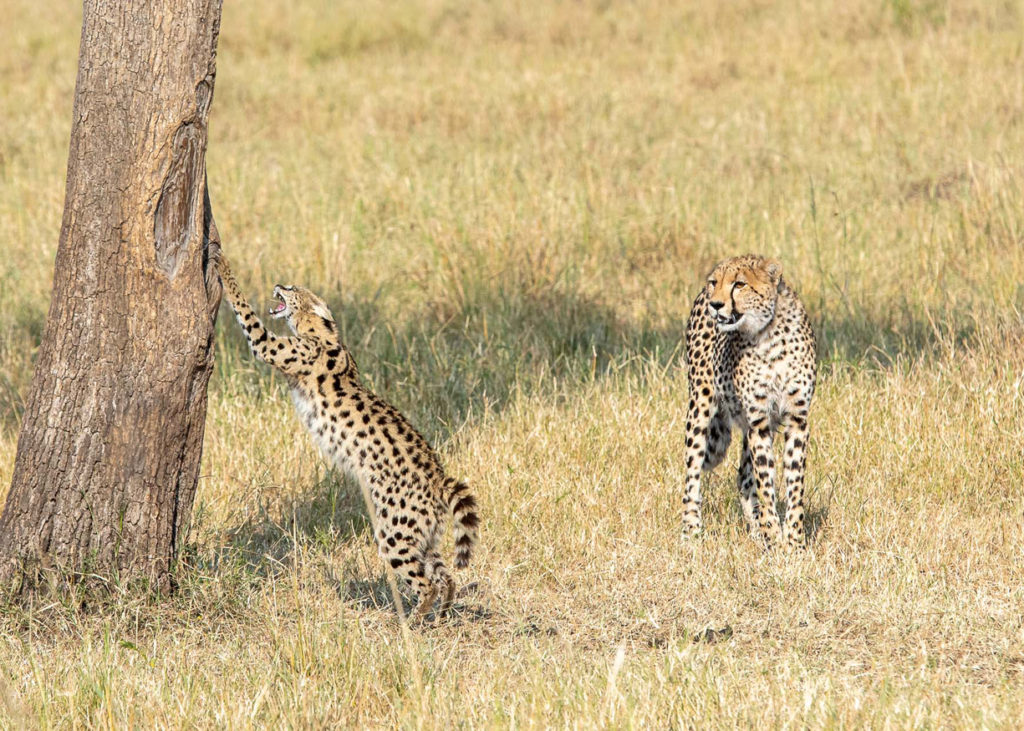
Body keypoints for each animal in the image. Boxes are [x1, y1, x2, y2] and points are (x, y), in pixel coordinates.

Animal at [216, 251, 479, 622]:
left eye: (293, 288)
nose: (279, 283)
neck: (325, 333)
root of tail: (439, 477)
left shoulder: (268, 346)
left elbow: (244, 309)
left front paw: (222, 264)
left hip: (394, 533)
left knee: (426, 582)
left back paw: (411, 621)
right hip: (424, 535)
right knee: (445, 576)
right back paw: (442, 615)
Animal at [679, 253, 815, 548]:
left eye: (739, 284)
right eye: (715, 282)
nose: (715, 304)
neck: (769, 334)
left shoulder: (796, 419)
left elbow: (794, 483)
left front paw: (794, 541)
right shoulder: (759, 422)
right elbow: (765, 483)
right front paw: (774, 538)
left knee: (743, 476)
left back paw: (755, 530)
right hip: (700, 404)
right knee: (692, 471)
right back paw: (690, 529)